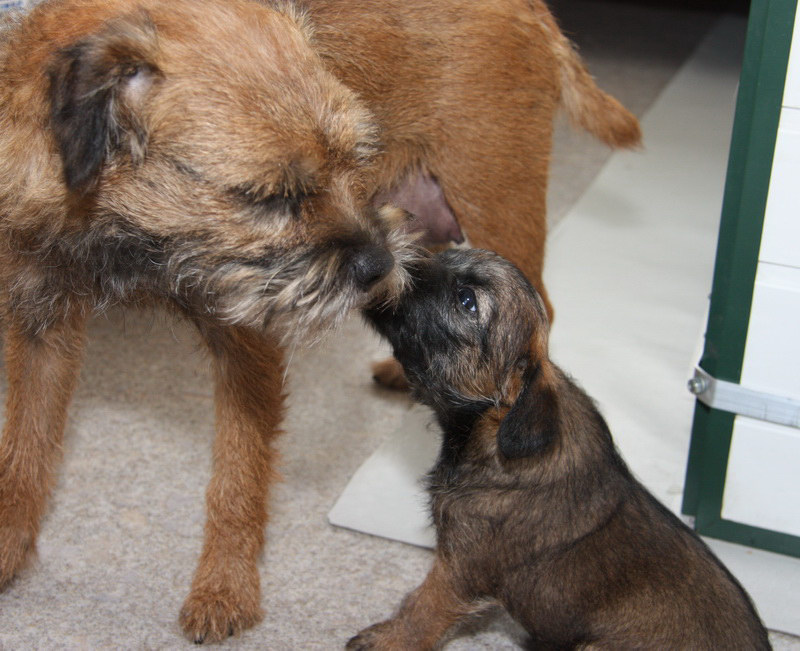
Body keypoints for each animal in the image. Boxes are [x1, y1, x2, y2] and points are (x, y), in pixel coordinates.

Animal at [0, 0, 415, 642]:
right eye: (269, 198)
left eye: (355, 161)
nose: (379, 264)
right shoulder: (39, 321)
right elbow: (27, 446)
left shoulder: (247, 338)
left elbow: (239, 471)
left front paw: (225, 586)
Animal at [356, 249, 771, 650]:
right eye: (447, 257)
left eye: (467, 300)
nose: (385, 257)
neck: (492, 431)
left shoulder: (459, 568)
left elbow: (423, 611)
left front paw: (387, 640)